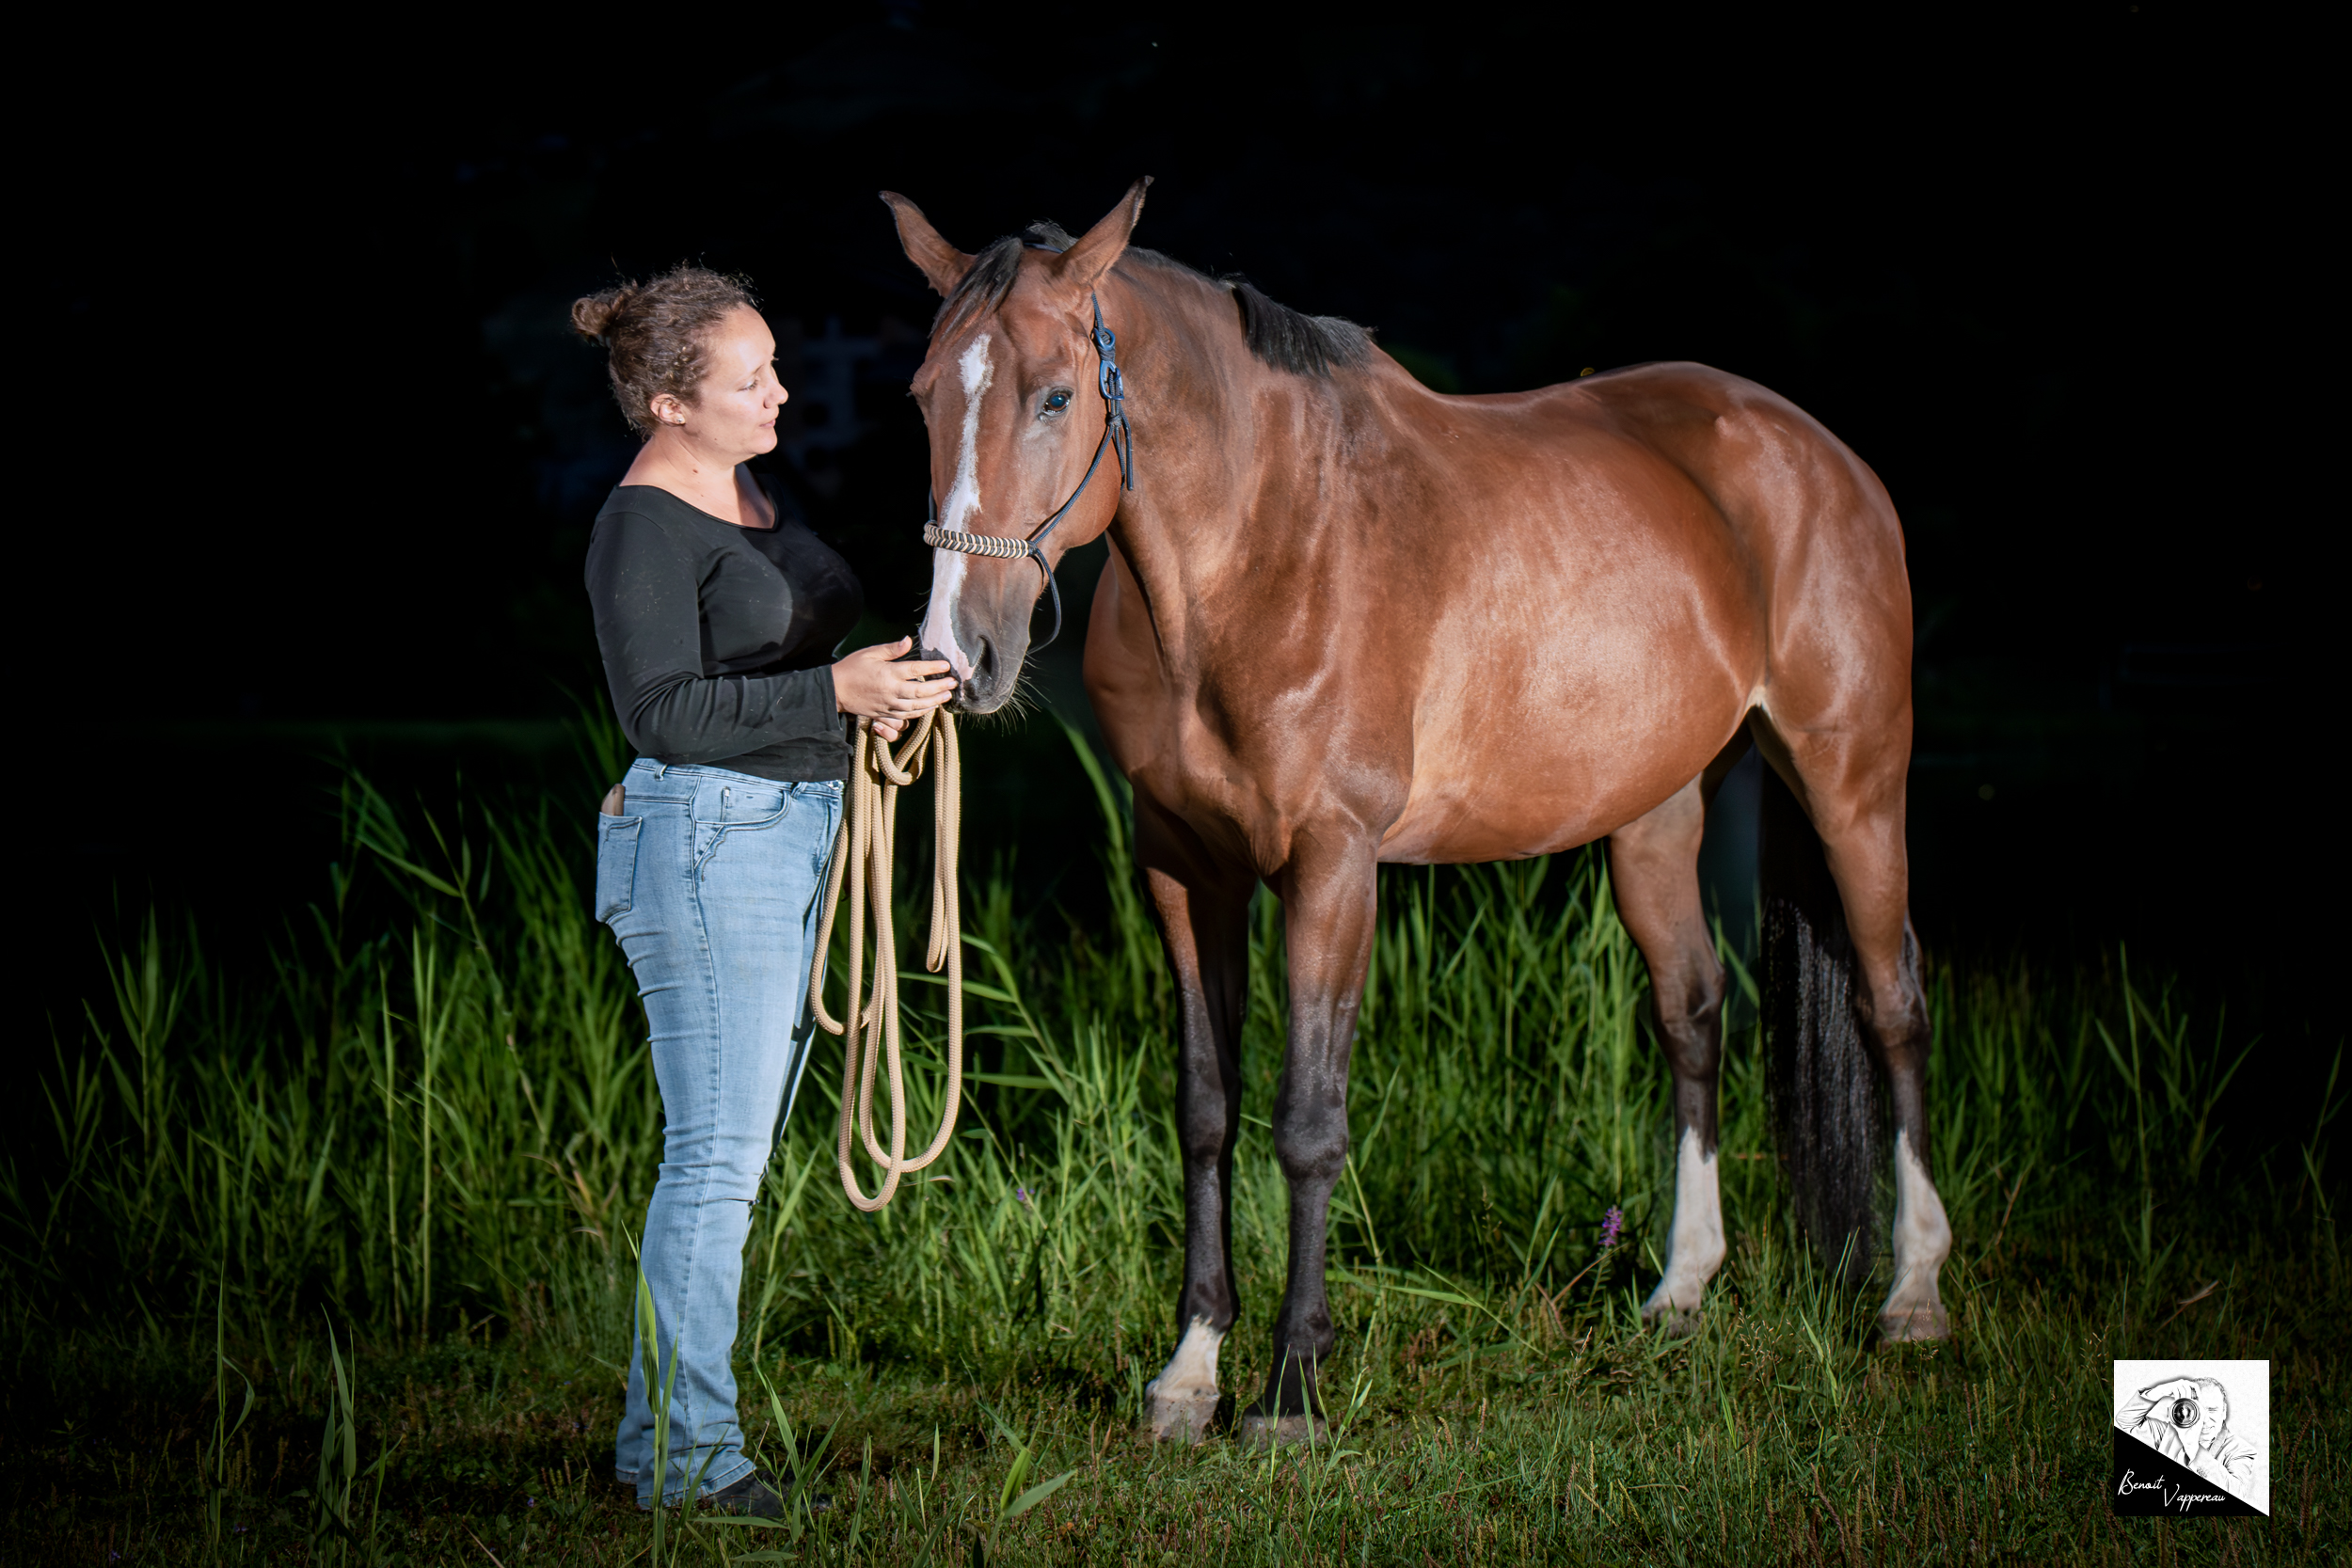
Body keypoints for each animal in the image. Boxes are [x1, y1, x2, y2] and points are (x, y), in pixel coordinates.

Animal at [884, 177, 1947, 1438]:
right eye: (921, 397)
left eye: (1054, 394)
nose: (957, 654)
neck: (1261, 554)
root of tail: (1818, 451)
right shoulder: (1184, 867)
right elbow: (1204, 1110)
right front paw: (1190, 1369)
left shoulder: (1333, 867)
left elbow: (1306, 1123)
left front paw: (1292, 1385)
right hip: (1656, 814)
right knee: (1693, 1009)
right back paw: (1681, 1289)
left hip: (1853, 783)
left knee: (1891, 1006)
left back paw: (1914, 1291)